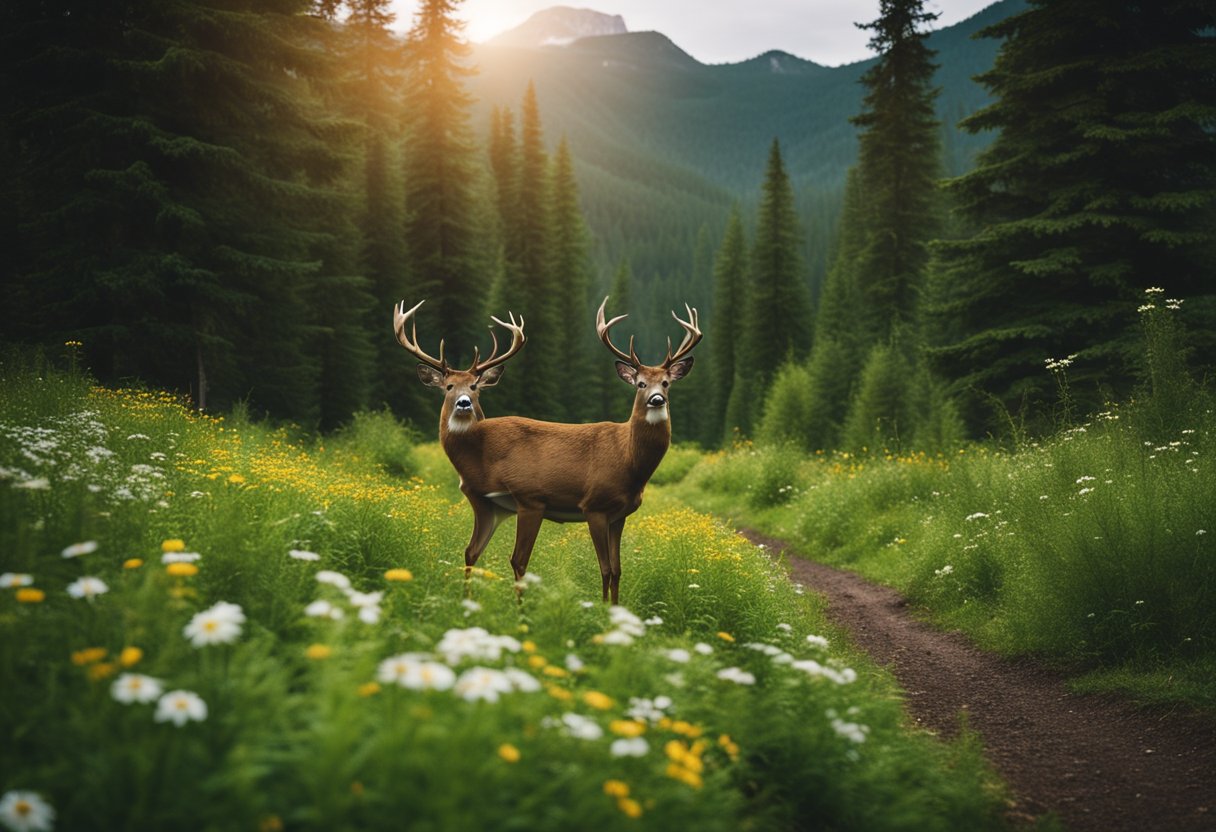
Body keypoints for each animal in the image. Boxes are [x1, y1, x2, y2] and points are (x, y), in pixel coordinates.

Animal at [393, 296, 701, 604]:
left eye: (666, 383)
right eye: (640, 383)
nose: (657, 399)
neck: (628, 459)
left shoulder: (620, 514)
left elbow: (617, 570)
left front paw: (615, 609)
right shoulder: (594, 506)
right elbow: (604, 569)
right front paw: (602, 610)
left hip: (490, 506)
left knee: (471, 551)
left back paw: (468, 600)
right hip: (529, 500)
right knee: (516, 559)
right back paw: (518, 608)